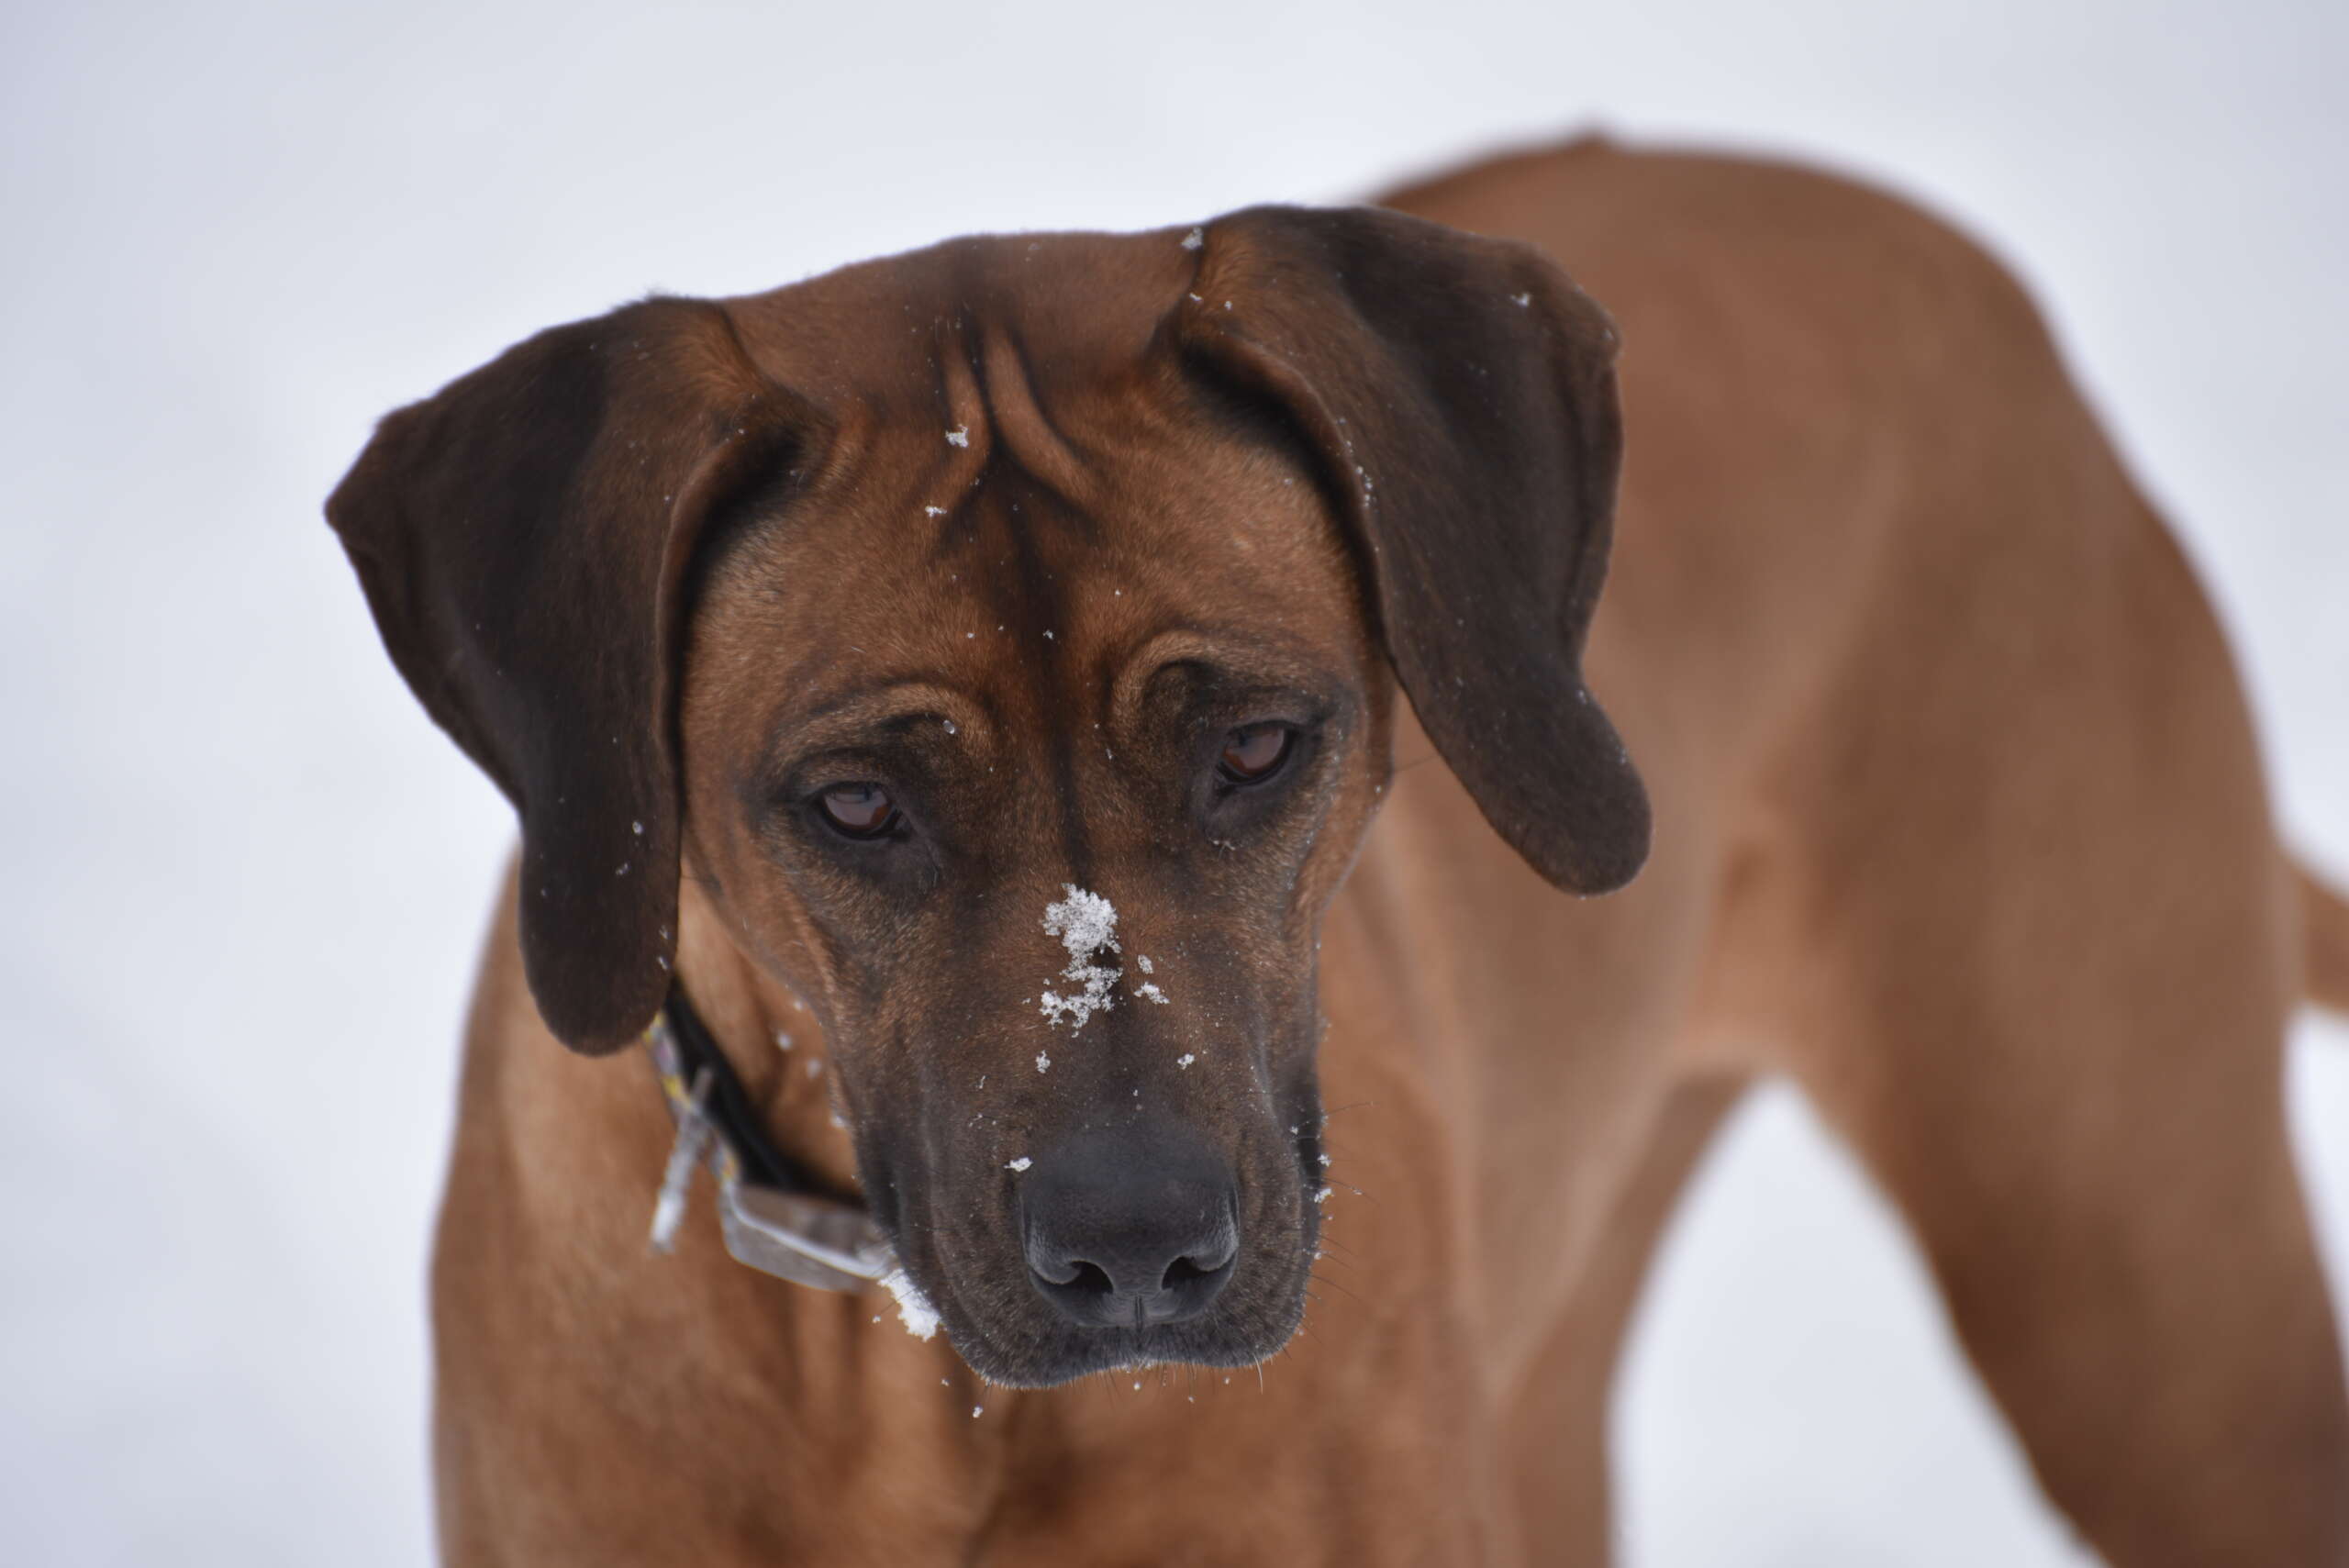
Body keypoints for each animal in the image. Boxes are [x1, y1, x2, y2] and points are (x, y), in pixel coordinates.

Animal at [326, 138, 2349, 1568]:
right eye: (855, 804)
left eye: (1252, 744)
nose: (1139, 1251)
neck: (924, 1391)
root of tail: (1987, 290)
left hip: (2149, 1319)